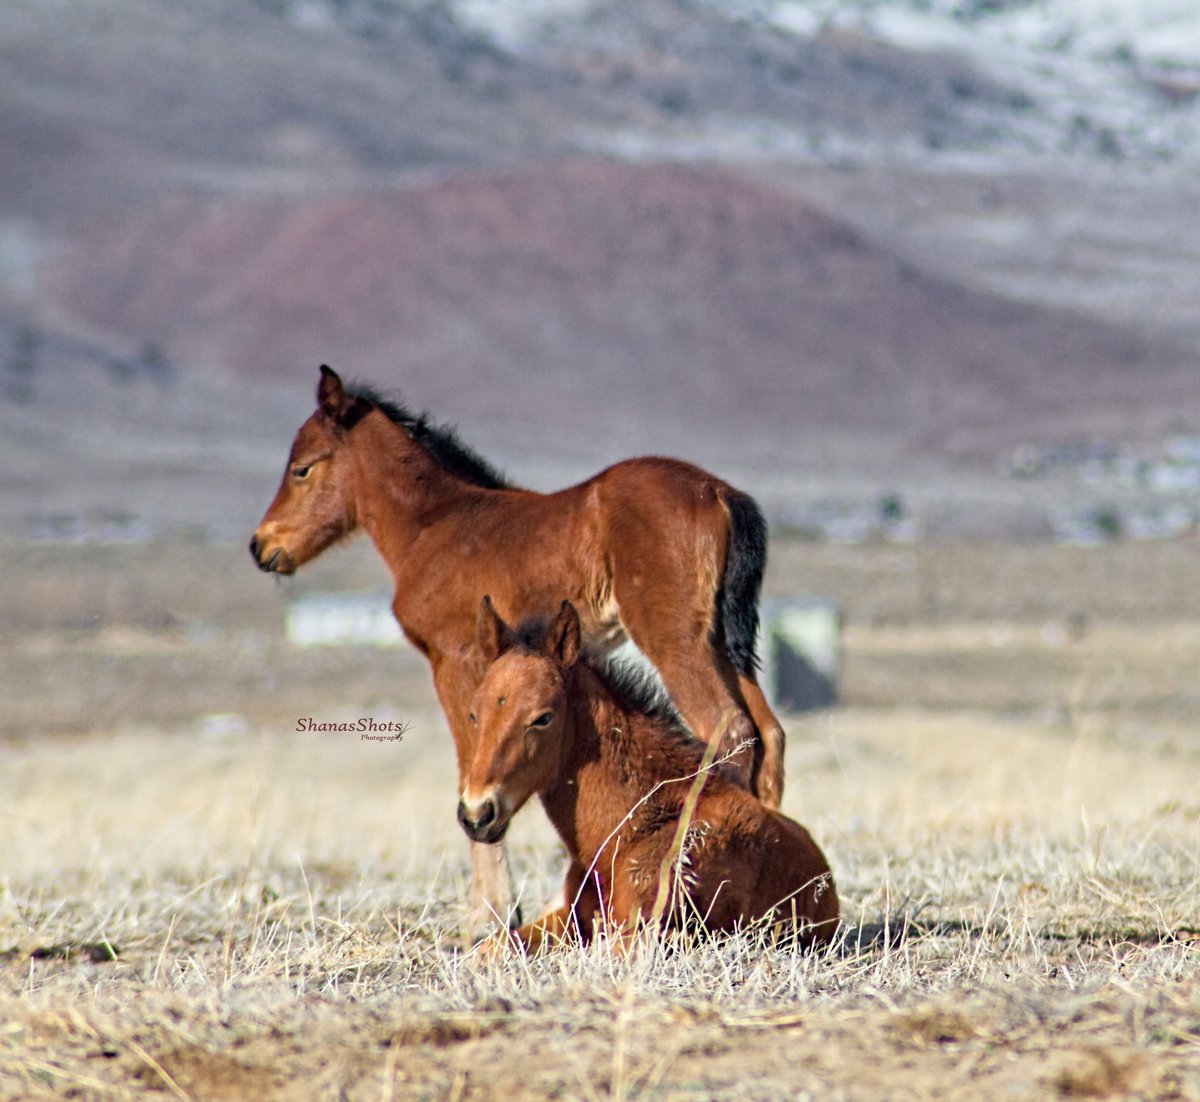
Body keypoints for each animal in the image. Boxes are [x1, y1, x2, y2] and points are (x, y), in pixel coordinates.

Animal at [250, 365, 788, 936]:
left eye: (302, 468)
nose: (262, 546)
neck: (435, 527)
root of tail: (719, 492)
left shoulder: (454, 662)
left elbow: (470, 763)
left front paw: (489, 913)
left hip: (674, 640)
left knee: (731, 731)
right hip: (723, 645)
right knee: (769, 734)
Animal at [459, 597, 838, 954]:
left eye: (543, 717)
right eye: (473, 714)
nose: (477, 813)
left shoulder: (645, 928)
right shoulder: (568, 917)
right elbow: (491, 949)